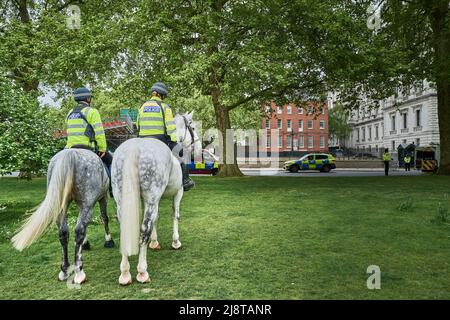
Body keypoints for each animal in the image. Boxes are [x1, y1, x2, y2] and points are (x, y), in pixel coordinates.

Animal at [12, 149, 115, 284]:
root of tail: (71, 154)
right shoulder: (103, 197)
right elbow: (104, 218)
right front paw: (109, 240)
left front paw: (86, 243)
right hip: (87, 204)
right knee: (79, 230)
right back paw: (79, 271)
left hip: (61, 207)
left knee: (64, 232)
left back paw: (65, 270)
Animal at [110, 110, 200, 284]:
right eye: (192, 127)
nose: (199, 148)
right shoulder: (177, 193)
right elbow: (175, 215)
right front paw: (175, 241)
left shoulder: (151, 201)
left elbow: (156, 219)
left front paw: (154, 242)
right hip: (152, 197)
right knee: (143, 230)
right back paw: (142, 272)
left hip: (123, 201)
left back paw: (125, 274)